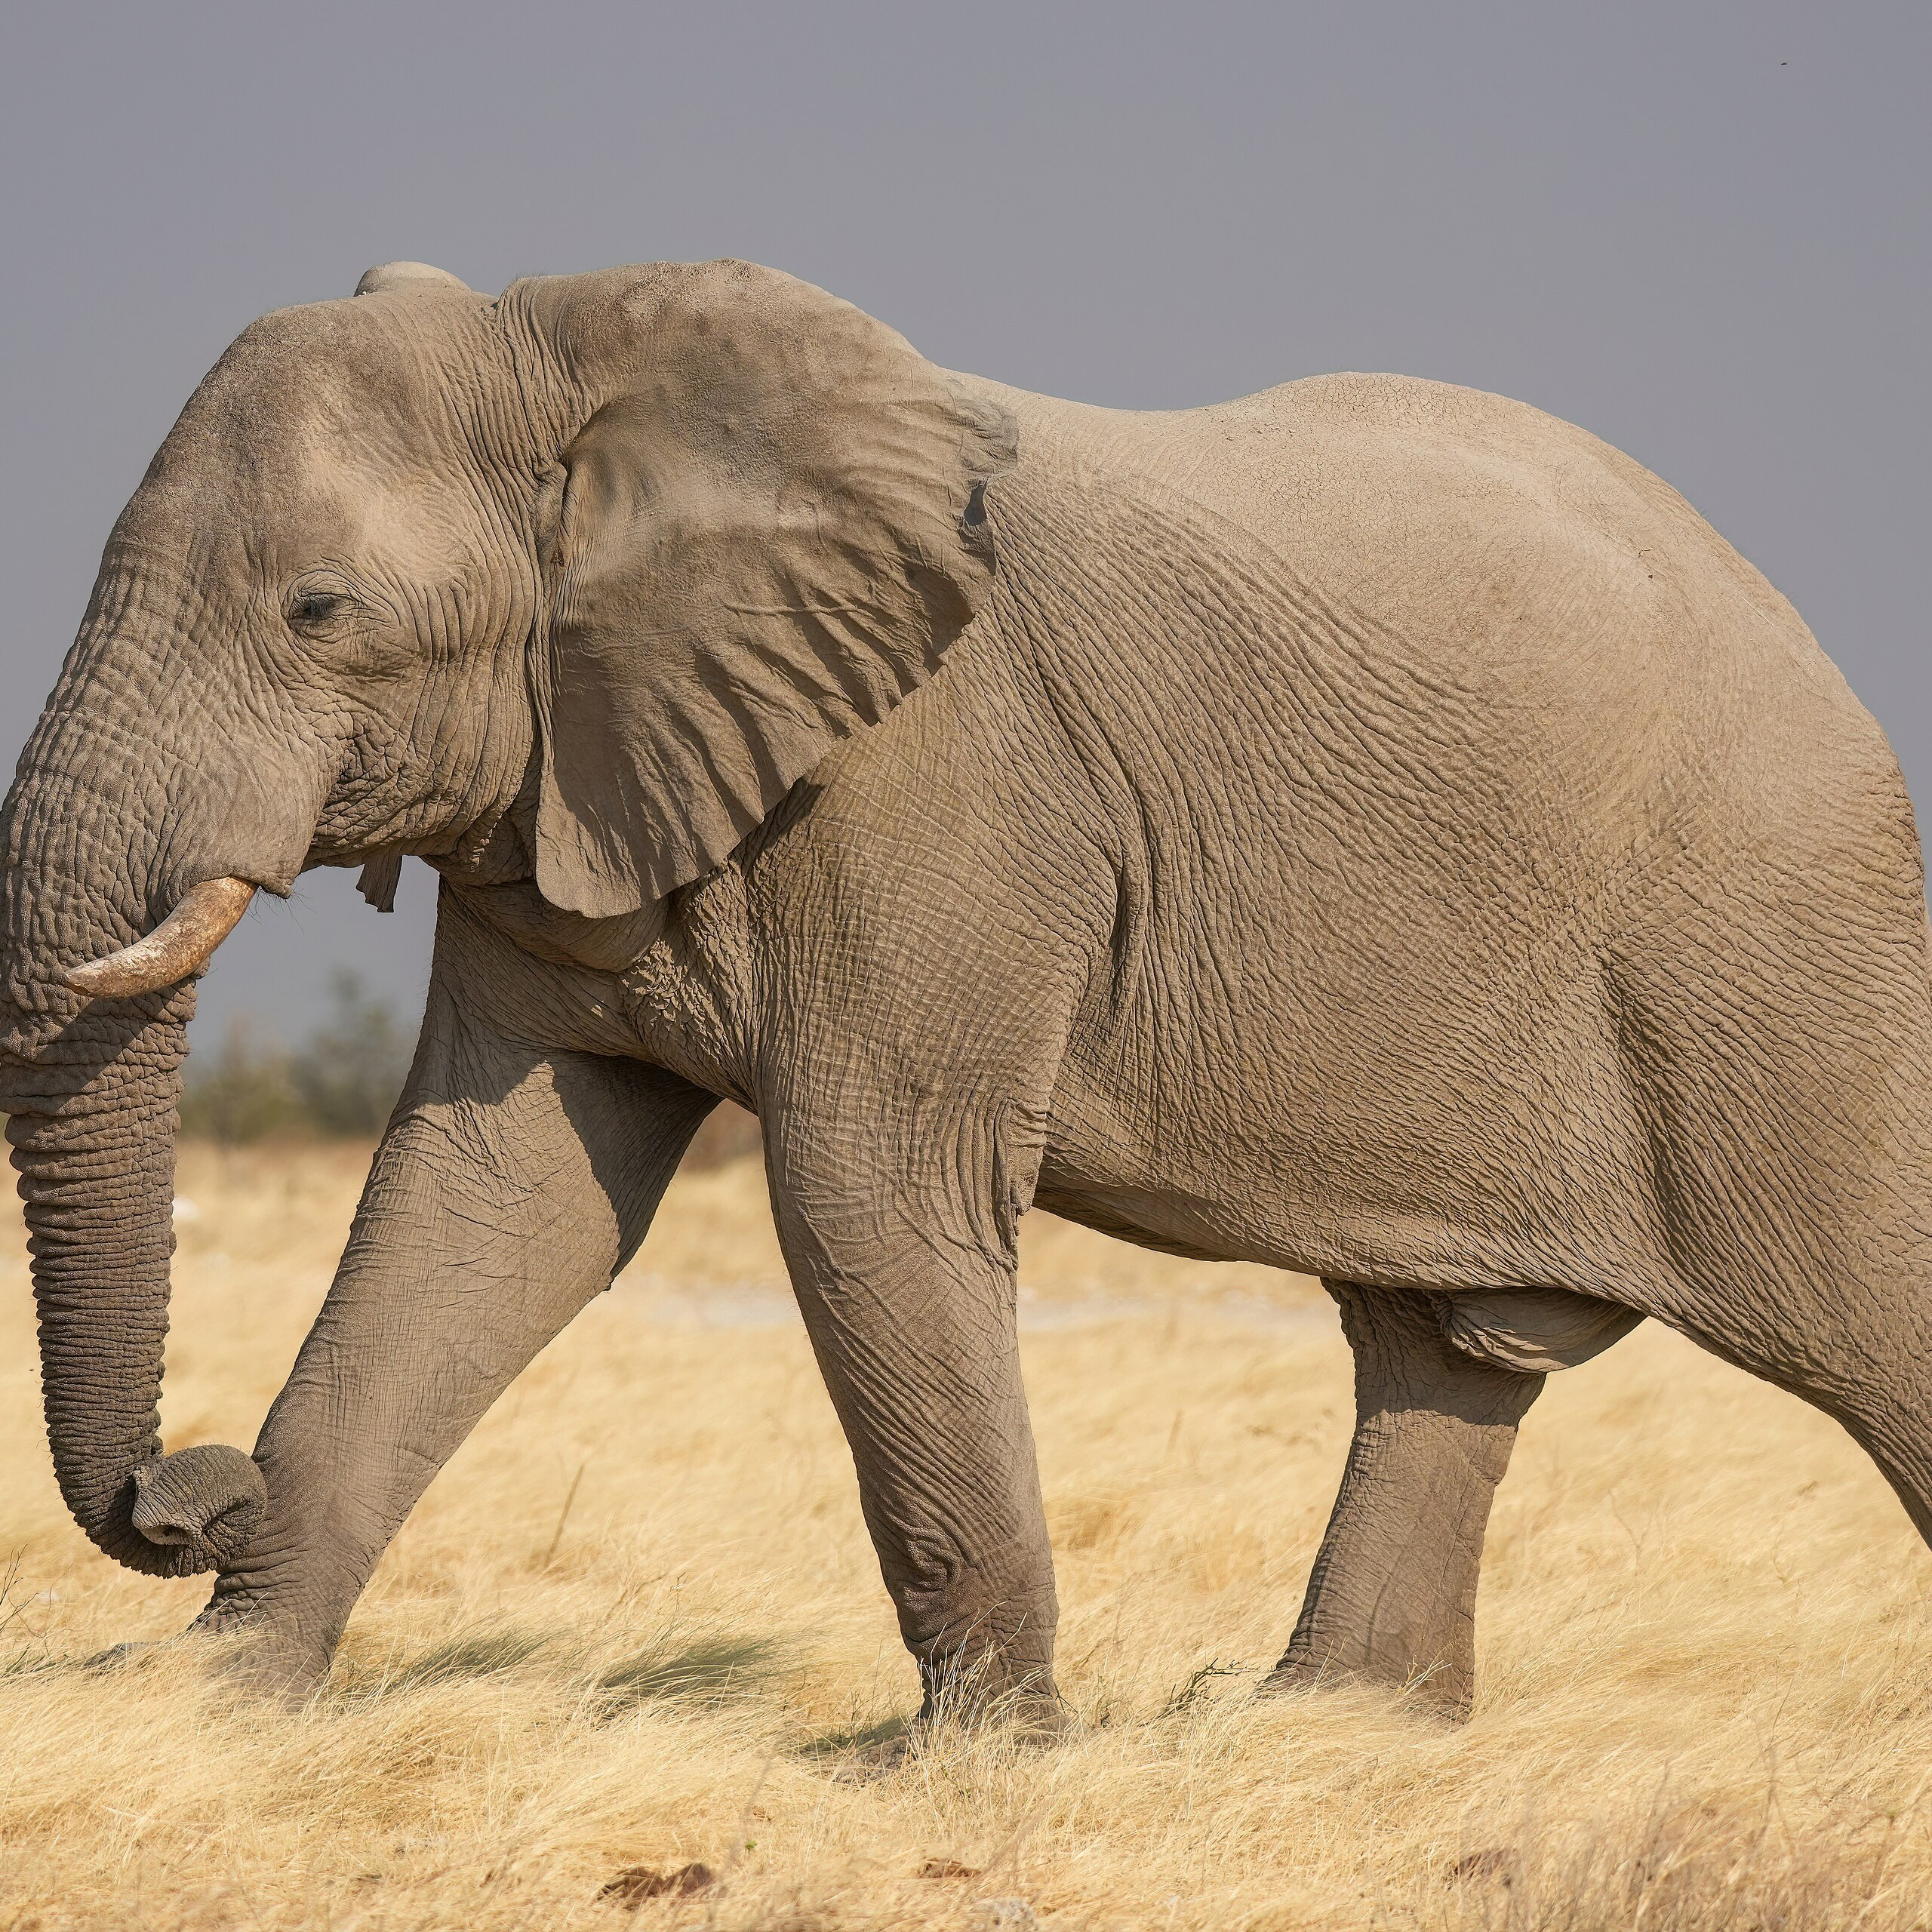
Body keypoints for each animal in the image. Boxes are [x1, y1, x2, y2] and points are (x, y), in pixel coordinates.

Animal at [3, 255, 1928, 1733]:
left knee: (1862, 1317)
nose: (188, 1487)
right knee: (1434, 1351)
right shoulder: (568, 776)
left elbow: (863, 1188)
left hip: (1772, 953)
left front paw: (978, 1761)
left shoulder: (940, 785)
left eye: (319, 611)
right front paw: (216, 1714)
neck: (571, 345)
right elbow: (489, 1203)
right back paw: (1326, 1734)